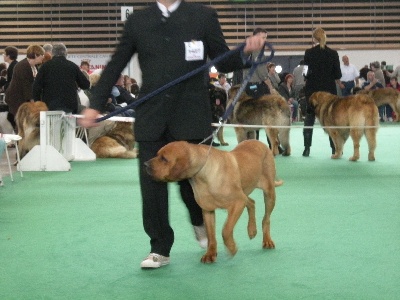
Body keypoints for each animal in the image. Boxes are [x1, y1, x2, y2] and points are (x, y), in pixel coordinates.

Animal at [145, 139, 282, 264]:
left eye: (164, 159)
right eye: (157, 155)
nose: (145, 164)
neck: (201, 175)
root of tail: (260, 143)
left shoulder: (237, 204)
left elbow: (225, 230)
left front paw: (232, 247)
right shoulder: (208, 210)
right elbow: (211, 235)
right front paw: (210, 254)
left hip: (269, 193)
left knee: (266, 218)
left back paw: (267, 240)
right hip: (244, 193)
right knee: (251, 202)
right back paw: (252, 230)